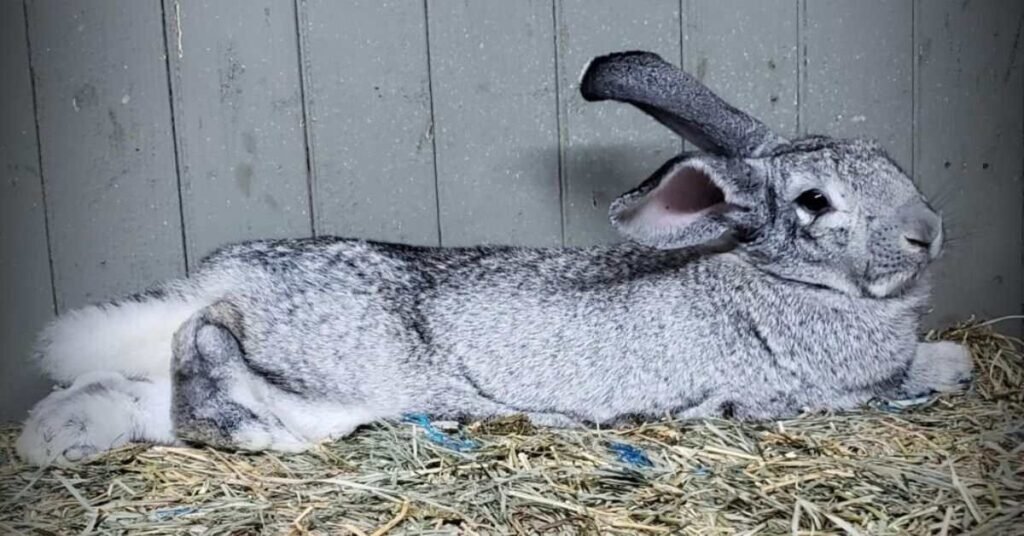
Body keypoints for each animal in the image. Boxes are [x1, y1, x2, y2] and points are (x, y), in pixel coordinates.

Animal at [16, 50, 972, 466]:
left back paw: (51, 444)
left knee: (133, 393)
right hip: (330, 368)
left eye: (886, 159)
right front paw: (953, 364)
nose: (928, 230)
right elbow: (909, 374)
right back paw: (242, 425)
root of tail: (219, 279)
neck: (785, 278)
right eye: (815, 203)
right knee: (206, 351)